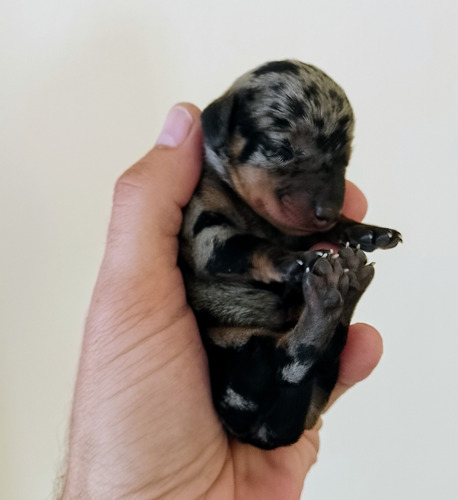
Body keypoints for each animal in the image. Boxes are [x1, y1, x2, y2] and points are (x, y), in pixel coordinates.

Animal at [179, 59, 400, 450]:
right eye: (280, 147)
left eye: (345, 158)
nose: (328, 210)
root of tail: (267, 434)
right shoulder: (205, 232)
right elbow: (249, 247)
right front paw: (293, 262)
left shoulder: (303, 229)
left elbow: (328, 230)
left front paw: (367, 230)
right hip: (236, 356)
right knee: (289, 358)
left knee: (311, 361)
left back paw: (348, 288)